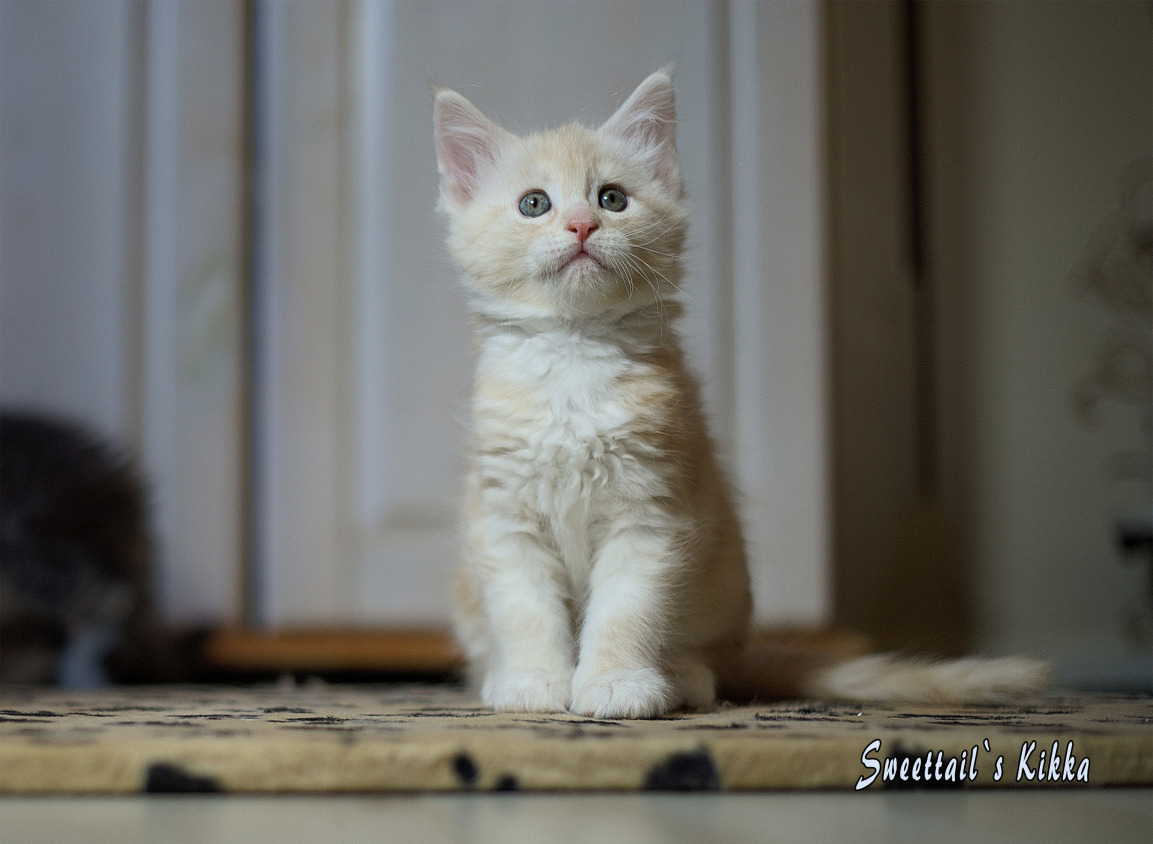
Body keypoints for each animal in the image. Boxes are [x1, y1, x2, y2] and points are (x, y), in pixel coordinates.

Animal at [433, 68, 1049, 718]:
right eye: (534, 204)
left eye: (612, 199)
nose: (581, 225)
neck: (576, 356)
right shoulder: (505, 519)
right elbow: (526, 610)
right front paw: (534, 683)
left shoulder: (653, 513)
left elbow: (627, 610)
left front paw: (617, 684)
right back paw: (499, 675)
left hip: (722, 583)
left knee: (711, 666)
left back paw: (680, 677)